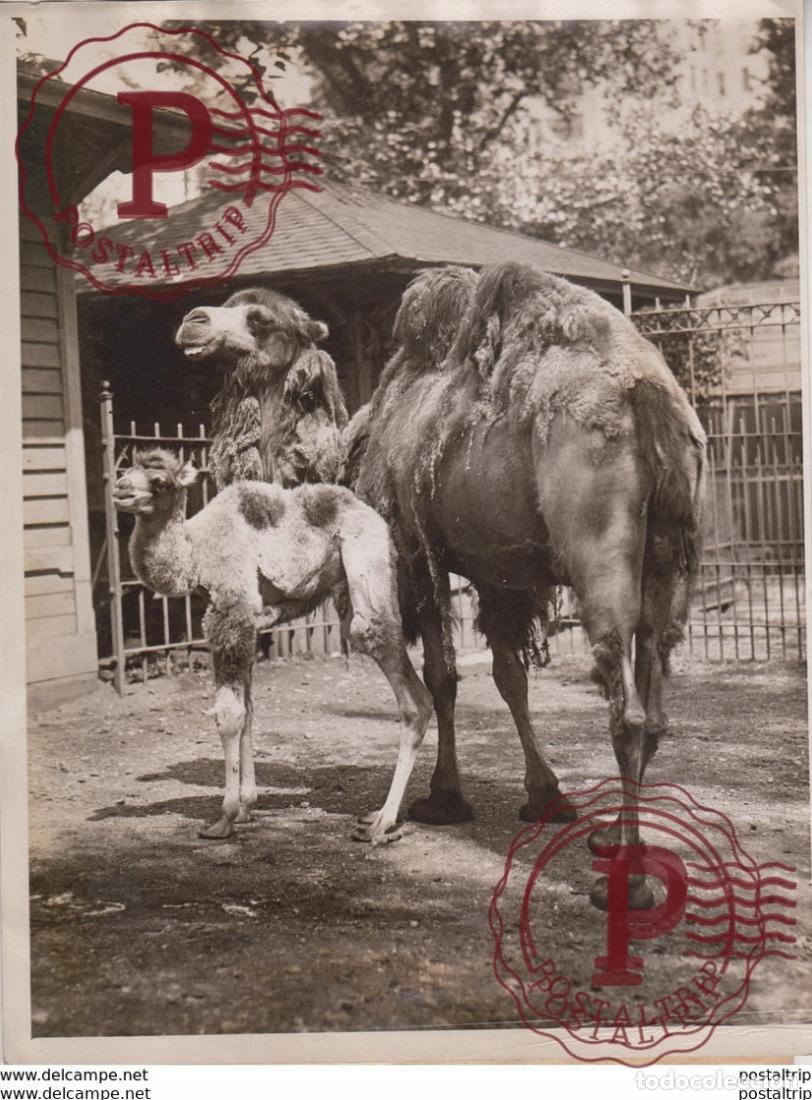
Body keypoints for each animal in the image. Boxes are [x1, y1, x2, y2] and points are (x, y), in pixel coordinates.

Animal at [113, 447, 432, 844]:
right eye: (128, 468)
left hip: (364, 559)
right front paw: (247, 805)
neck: (196, 550)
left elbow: (229, 715)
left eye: (159, 481)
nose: (121, 488)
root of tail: (380, 521)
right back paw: (378, 815)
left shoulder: (230, 611)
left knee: (389, 661)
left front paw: (224, 818)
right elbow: (248, 709)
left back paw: (383, 821)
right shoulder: (249, 619)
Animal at [347, 262, 706, 908]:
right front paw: (545, 794)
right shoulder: (500, 573)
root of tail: (648, 396)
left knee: (625, 707)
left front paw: (443, 797)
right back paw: (612, 839)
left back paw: (628, 882)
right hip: (670, 558)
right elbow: (510, 677)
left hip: (598, 547)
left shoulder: (417, 552)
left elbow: (442, 678)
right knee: (655, 693)